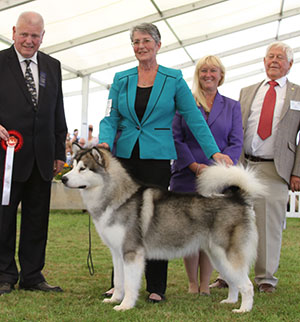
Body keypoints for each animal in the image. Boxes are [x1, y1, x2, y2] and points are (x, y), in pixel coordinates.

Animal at [61, 148, 264, 312]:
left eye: (83, 168)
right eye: (73, 166)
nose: (63, 178)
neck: (117, 197)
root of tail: (237, 198)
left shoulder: (132, 253)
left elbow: (129, 284)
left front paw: (125, 306)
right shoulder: (117, 253)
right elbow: (118, 281)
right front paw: (114, 299)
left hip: (228, 255)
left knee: (247, 285)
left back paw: (243, 310)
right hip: (218, 256)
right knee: (234, 282)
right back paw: (230, 301)